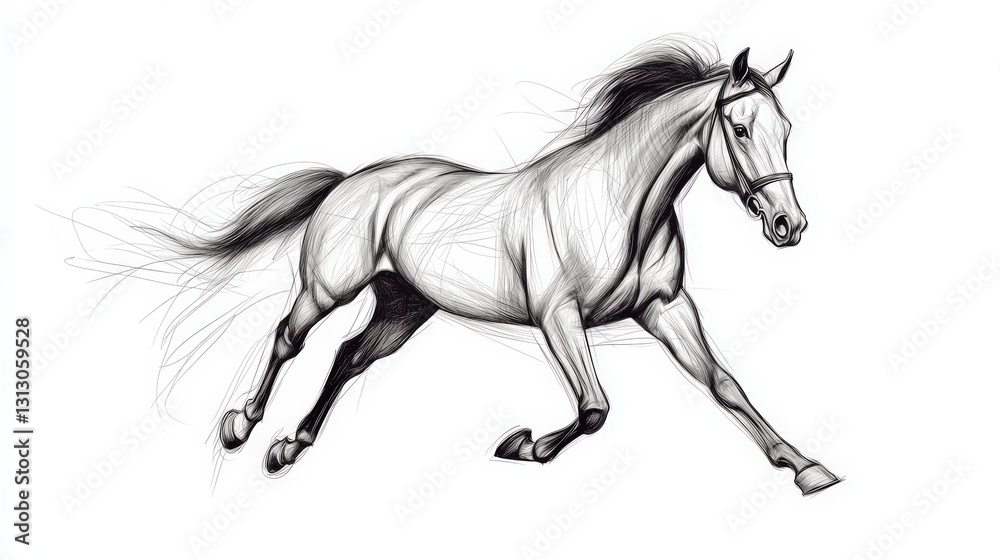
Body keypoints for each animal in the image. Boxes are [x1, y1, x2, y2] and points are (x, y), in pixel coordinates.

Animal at [156, 38, 840, 495]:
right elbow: (595, 408)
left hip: (405, 306)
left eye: (786, 129)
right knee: (286, 338)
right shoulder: (558, 316)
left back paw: (290, 447)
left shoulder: (665, 307)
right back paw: (241, 428)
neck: (616, 202)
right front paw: (523, 445)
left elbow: (725, 384)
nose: (789, 225)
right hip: (328, 289)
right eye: (741, 127)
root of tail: (352, 182)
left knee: (349, 356)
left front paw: (807, 468)